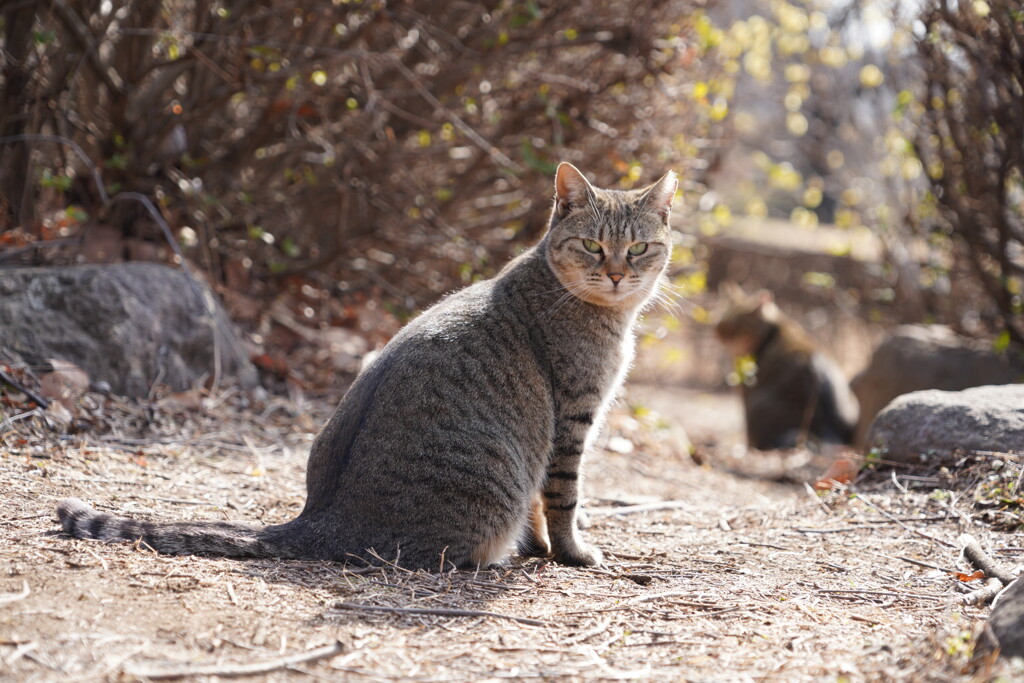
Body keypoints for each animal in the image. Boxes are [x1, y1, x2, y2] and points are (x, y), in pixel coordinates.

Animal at [58, 161, 679, 573]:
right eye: (593, 246)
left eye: (639, 249)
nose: (618, 273)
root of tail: (321, 519)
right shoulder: (572, 419)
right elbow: (563, 499)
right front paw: (571, 552)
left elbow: (541, 509)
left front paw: (544, 549)